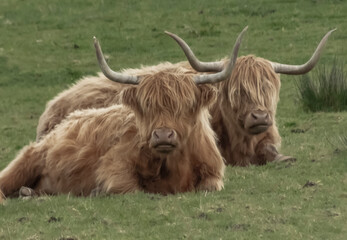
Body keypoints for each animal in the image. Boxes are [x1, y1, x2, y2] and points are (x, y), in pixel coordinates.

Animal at [0, 27, 247, 202]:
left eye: (186, 104)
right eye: (146, 105)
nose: (163, 135)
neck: (175, 165)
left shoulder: (214, 173)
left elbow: (209, 186)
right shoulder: (114, 166)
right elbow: (131, 188)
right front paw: (97, 192)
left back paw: (28, 193)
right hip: (26, 160)